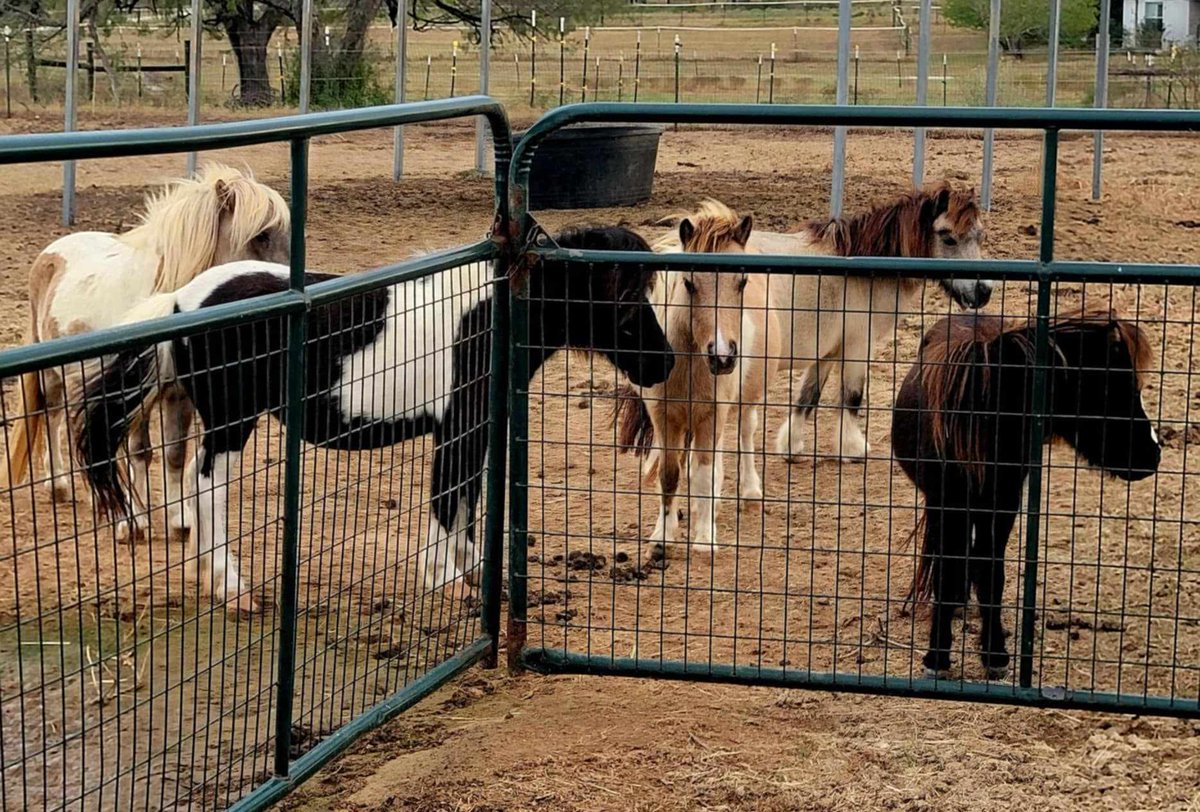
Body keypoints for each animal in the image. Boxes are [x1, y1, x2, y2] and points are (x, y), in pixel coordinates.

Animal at [3, 164, 290, 541]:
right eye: (261, 235)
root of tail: (52, 251)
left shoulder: (178, 394)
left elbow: (174, 454)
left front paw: (179, 519)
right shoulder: (132, 392)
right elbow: (139, 452)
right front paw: (134, 521)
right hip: (53, 375)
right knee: (52, 417)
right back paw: (59, 485)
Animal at [72, 225, 674, 612]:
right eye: (624, 302)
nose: (663, 363)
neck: (484, 319)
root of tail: (181, 300)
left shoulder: (475, 429)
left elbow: (468, 499)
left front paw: (474, 572)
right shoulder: (455, 427)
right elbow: (446, 496)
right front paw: (444, 580)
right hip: (230, 422)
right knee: (207, 485)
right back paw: (232, 589)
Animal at [616, 200, 781, 550]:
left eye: (741, 283)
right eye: (689, 283)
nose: (722, 356)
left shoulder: (713, 413)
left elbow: (705, 476)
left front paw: (705, 540)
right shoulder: (665, 416)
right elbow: (670, 473)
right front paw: (663, 536)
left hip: (745, 400)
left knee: (744, 434)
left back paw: (749, 492)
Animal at [654, 183, 992, 461]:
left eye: (979, 235)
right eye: (948, 237)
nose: (984, 290)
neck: (858, 269)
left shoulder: (827, 350)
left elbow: (808, 396)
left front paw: (791, 446)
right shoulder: (857, 347)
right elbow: (852, 397)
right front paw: (853, 449)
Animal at [891, 310, 1162, 679]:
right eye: (1112, 389)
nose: (1153, 453)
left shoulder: (1004, 504)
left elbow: (991, 574)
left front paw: (994, 654)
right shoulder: (947, 502)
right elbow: (949, 573)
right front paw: (937, 657)